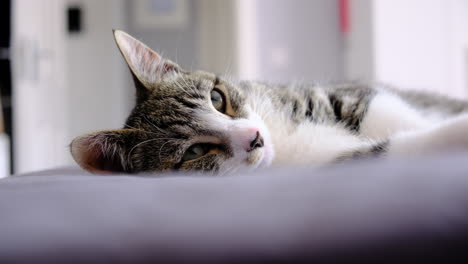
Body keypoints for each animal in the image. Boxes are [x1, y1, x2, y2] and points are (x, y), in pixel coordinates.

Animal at [69, 29, 468, 175]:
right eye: (195, 152)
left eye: (217, 98)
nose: (256, 137)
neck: (284, 145)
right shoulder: (332, 165)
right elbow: (395, 149)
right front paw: (453, 132)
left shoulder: (338, 94)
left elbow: (382, 110)